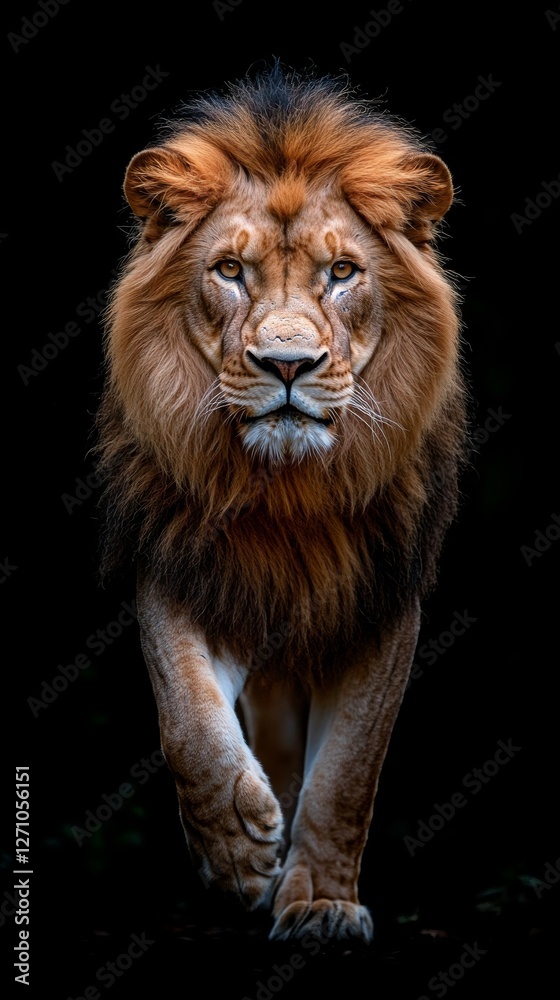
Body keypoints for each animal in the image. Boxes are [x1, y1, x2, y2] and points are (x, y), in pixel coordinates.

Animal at [96, 64, 467, 945]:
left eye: (343, 273)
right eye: (231, 271)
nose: (288, 364)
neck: (287, 494)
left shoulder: (382, 599)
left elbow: (348, 774)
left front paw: (322, 904)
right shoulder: (180, 566)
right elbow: (188, 717)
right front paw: (237, 853)